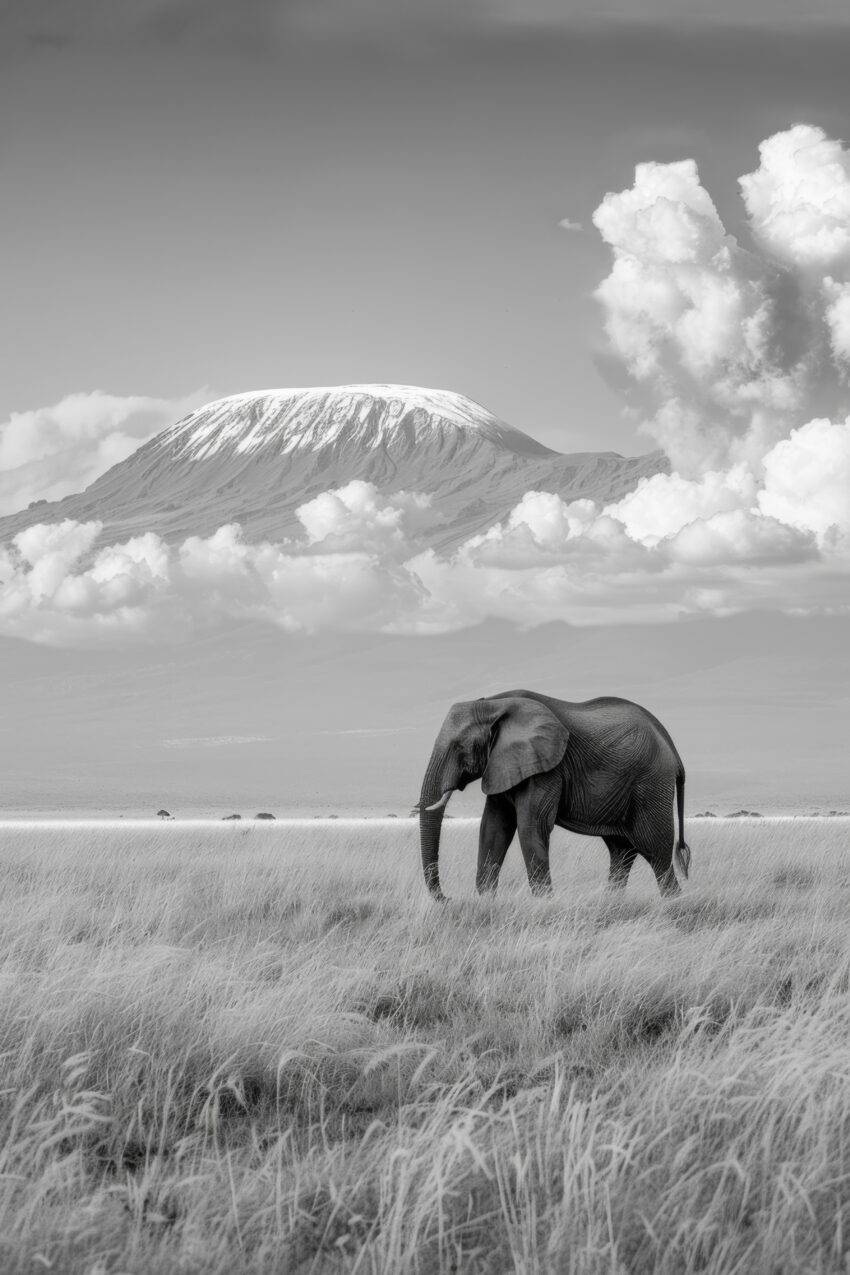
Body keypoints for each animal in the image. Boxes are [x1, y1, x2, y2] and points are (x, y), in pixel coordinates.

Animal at [416, 689, 690, 902]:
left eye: (460, 747)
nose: (448, 898)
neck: (492, 704)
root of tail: (672, 748)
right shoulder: (503, 764)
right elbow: (493, 828)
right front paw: (486, 902)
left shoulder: (546, 768)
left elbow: (530, 827)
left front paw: (544, 904)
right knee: (621, 851)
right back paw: (612, 902)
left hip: (651, 784)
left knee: (655, 850)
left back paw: (673, 904)